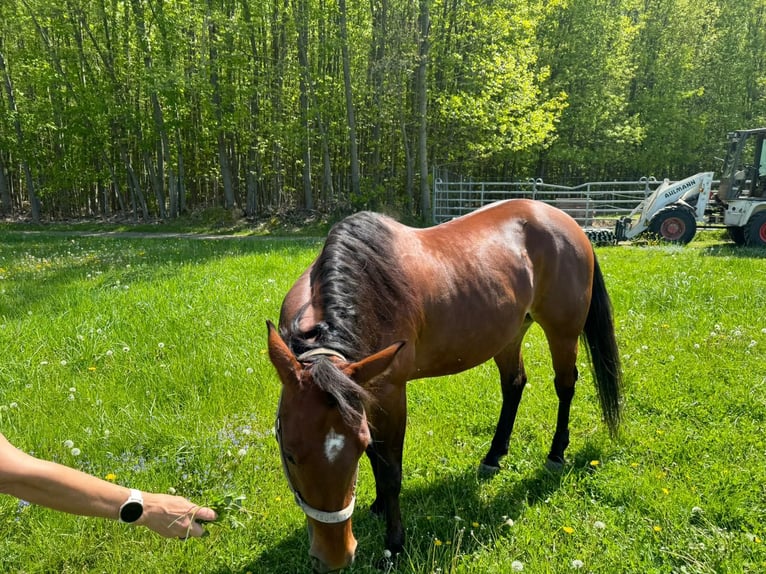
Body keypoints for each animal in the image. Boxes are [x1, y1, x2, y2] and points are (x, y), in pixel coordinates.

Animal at [268, 200, 624, 572]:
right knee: (514, 384)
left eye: (353, 452)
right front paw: (378, 505)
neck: (367, 291)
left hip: (563, 332)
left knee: (565, 386)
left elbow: (390, 470)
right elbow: (378, 457)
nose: (335, 557)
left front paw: (394, 545)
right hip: (509, 333)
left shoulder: (391, 392)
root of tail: (567, 221)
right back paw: (494, 455)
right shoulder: (365, 393)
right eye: (289, 454)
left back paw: (556, 452)